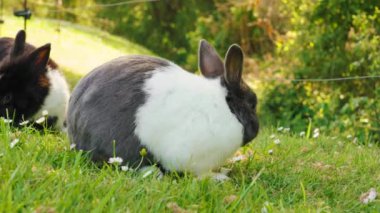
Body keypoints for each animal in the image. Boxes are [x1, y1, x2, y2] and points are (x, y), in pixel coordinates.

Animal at [67, 40, 258, 176]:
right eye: (252, 103)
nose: (256, 130)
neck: (225, 108)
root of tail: (75, 135)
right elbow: (199, 174)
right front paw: (219, 177)